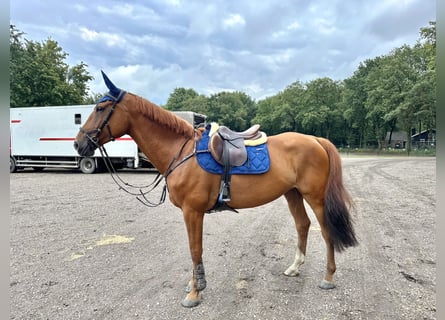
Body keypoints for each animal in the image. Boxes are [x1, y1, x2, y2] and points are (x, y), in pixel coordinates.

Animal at [73, 72, 358, 308]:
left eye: (100, 107)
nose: (78, 144)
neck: (182, 151)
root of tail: (316, 140)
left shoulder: (192, 211)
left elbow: (195, 249)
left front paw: (195, 293)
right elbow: (193, 249)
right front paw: (194, 285)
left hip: (315, 197)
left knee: (326, 231)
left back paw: (328, 277)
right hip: (293, 193)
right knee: (302, 225)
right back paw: (294, 267)